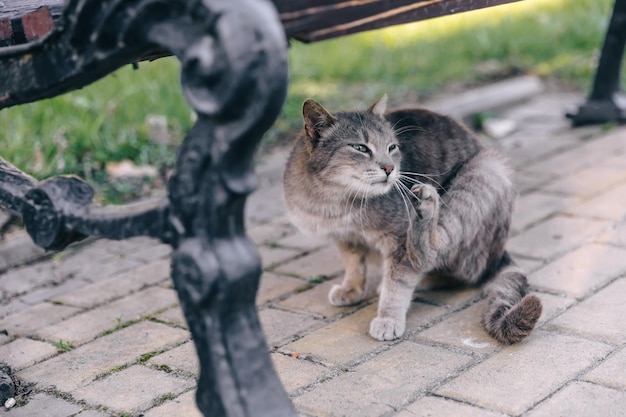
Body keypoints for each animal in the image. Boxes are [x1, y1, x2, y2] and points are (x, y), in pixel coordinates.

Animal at [282, 96, 540, 342]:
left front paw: (388, 319)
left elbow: (398, 283)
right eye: (360, 147)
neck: (337, 203)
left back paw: (425, 215)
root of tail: (499, 252)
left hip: (486, 170)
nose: (390, 168)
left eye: (392, 147)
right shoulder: (345, 239)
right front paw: (351, 288)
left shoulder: (397, 240)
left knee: (446, 261)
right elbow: (354, 265)